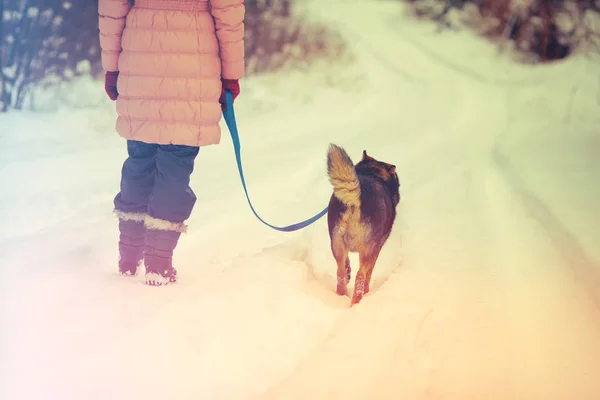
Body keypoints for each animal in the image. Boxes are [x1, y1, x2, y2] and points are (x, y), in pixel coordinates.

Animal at [326, 144, 400, 306]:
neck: (373, 173)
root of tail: (358, 197)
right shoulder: (376, 249)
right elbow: (368, 273)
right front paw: (367, 291)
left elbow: (347, 264)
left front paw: (348, 272)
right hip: (367, 250)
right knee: (360, 276)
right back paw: (357, 301)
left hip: (336, 243)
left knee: (340, 272)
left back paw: (341, 295)